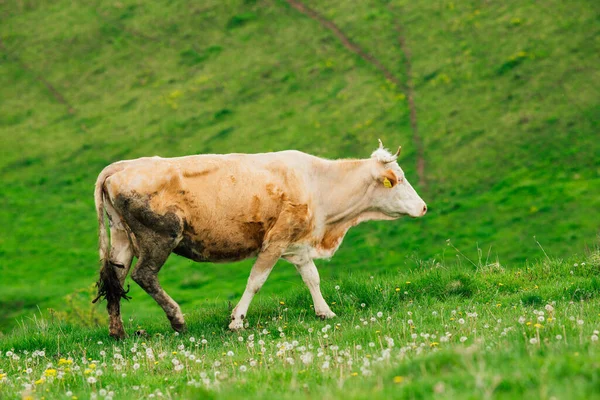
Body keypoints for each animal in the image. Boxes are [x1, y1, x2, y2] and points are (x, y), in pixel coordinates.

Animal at [92, 141, 426, 338]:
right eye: (398, 180)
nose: (423, 207)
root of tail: (124, 165)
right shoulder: (275, 240)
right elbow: (256, 281)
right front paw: (237, 320)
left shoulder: (297, 244)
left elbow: (312, 277)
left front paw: (325, 312)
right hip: (160, 236)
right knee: (144, 275)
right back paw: (177, 319)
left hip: (122, 237)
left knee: (116, 279)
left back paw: (117, 331)